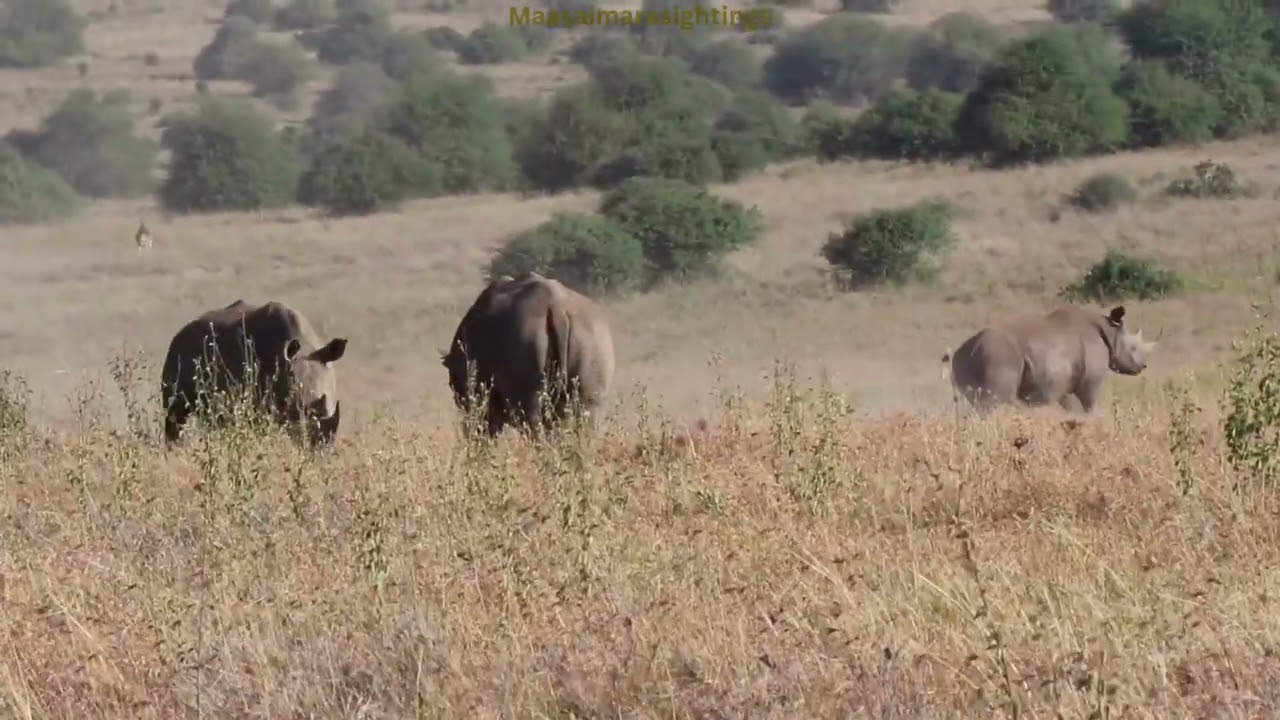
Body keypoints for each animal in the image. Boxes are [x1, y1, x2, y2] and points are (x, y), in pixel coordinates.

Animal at [160, 299, 349, 446]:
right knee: (175, 415)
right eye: (296, 408)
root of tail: (179, 332)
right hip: (175, 355)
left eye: (327, 400)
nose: (321, 445)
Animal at [942, 304, 1157, 414]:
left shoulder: (1065, 380)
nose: (1143, 366)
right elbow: (1090, 403)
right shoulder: (1090, 380)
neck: (1110, 330)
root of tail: (970, 347)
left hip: (968, 359)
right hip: (998, 355)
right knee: (994, 403)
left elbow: (1070, 407)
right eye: (1133, 347)